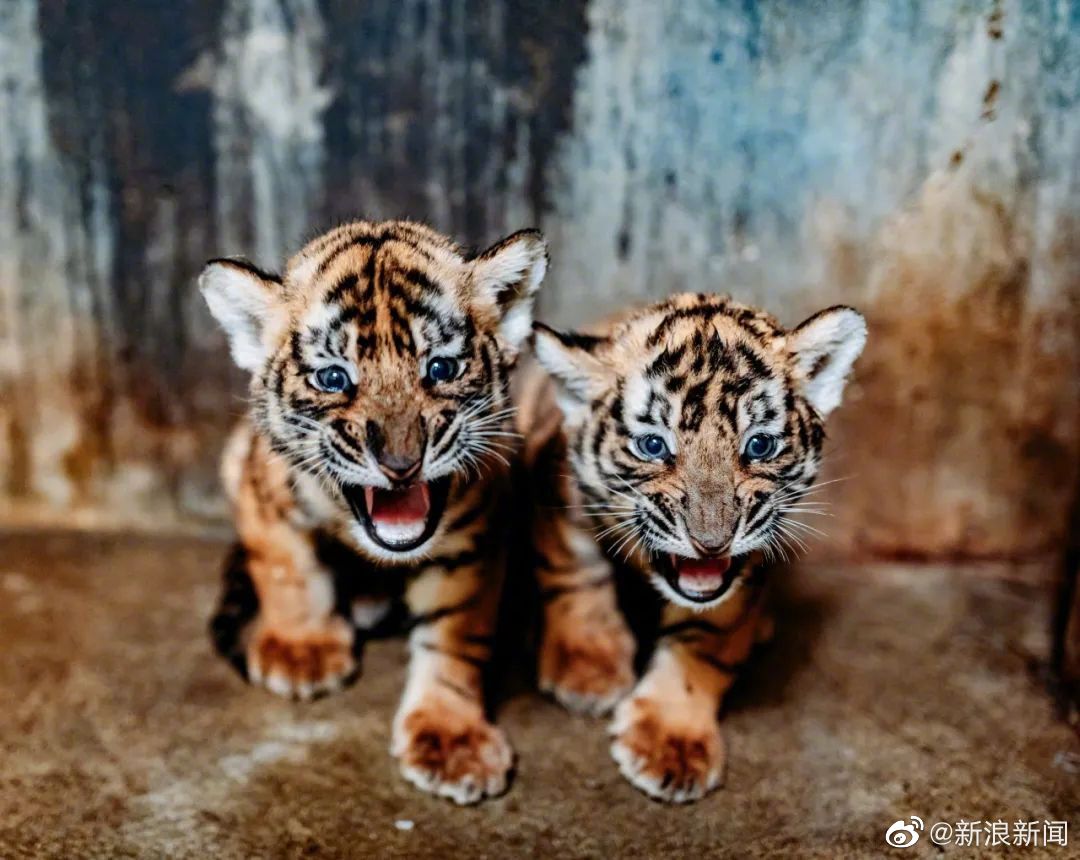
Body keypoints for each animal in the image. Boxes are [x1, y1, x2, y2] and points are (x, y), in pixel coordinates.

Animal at [198, 218, 548, 804]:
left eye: (440, 368)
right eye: (334, 378)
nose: (401, 464)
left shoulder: (473, 536)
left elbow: (452, 637)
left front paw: (452, 741)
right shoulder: (262, 487)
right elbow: (288, 570)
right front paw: (301, 653)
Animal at [520, 292, 866, 803]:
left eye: (759, 446)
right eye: (653, 446)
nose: (711, 543)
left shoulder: (739, 570)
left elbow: (701, 643)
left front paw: (671, 744)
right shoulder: (556, 492)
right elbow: (576, 578)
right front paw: (587, 673)